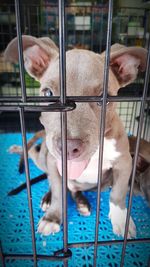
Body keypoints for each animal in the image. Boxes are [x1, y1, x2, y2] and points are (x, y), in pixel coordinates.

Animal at [4, 36, 146, 239]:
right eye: (48, 94)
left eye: (104, 99)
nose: (68, 147)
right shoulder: (54, 164)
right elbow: (58, 193)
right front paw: (53, 218)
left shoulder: (124, 162)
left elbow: (117, 194)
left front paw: (121, 220)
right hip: (44, 156)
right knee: (36, 157)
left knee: (74, 189)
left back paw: (81, 202)